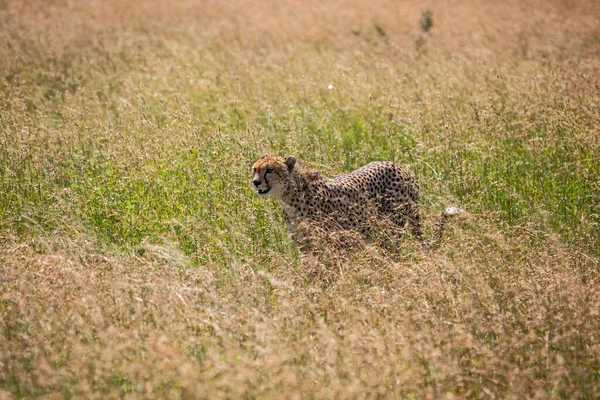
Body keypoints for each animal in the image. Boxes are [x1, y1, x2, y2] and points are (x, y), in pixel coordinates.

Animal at [251, 155, 458, 247]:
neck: (289, 197)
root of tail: (401, 167)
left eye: (269, 170)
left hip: (391, 228)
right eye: (254, 169)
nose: (255, 182)